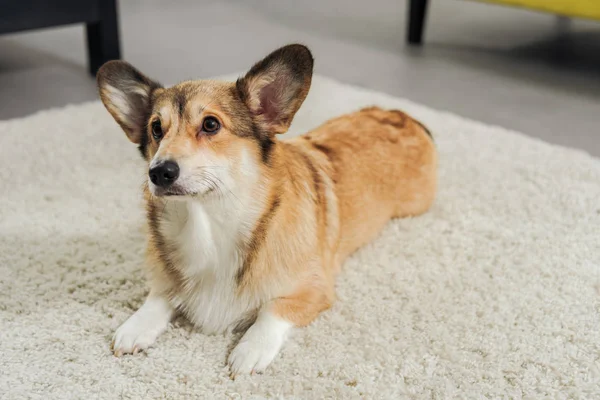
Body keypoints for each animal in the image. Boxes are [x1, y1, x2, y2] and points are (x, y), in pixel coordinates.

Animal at [97, 43, 436, 376]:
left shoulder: (314, 289)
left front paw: (250, 350)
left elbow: (272, 310)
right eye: (156, 128)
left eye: (210, 124)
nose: (158, 173)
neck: (209, 223)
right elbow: (158, 295)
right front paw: (136, 327)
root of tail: (404, 115)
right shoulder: (165, 276)